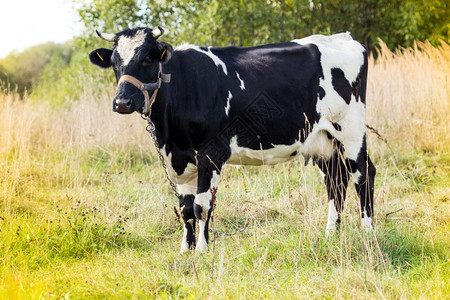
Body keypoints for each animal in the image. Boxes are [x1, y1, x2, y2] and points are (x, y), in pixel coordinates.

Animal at [89, 26, 376, 253]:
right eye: (115, 62)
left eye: (147, 59)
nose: (122, 102)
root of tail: (345, 38)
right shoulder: (180, 158)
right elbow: (185, 209)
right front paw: (185, 250)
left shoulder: (211, 152)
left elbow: (202, 206)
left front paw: (202, 251)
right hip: (323, 141)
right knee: (336, 181)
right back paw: (331, 235)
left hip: (350, 131)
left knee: (363, 174)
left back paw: (368, 233)